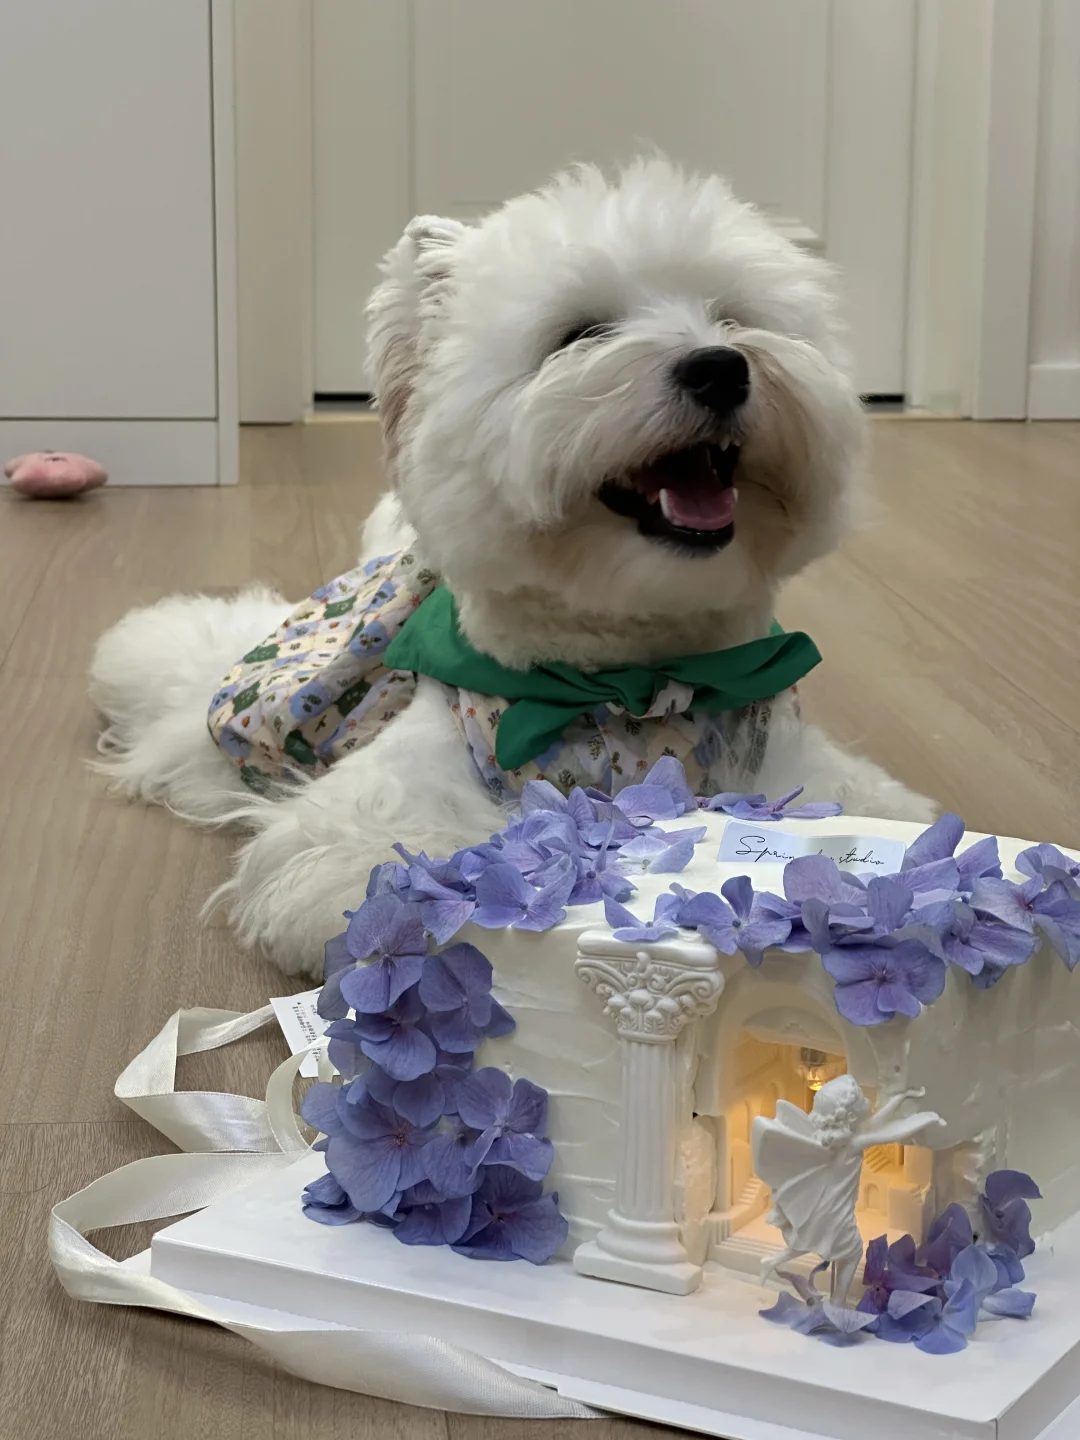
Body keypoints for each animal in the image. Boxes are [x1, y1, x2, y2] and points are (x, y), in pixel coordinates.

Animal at [90, 159, 935, 978]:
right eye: (580, 334)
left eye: (734, 320)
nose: (722, 367)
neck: (636, 682)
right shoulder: (389, 798)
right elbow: (375, 863)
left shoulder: (792, 768)